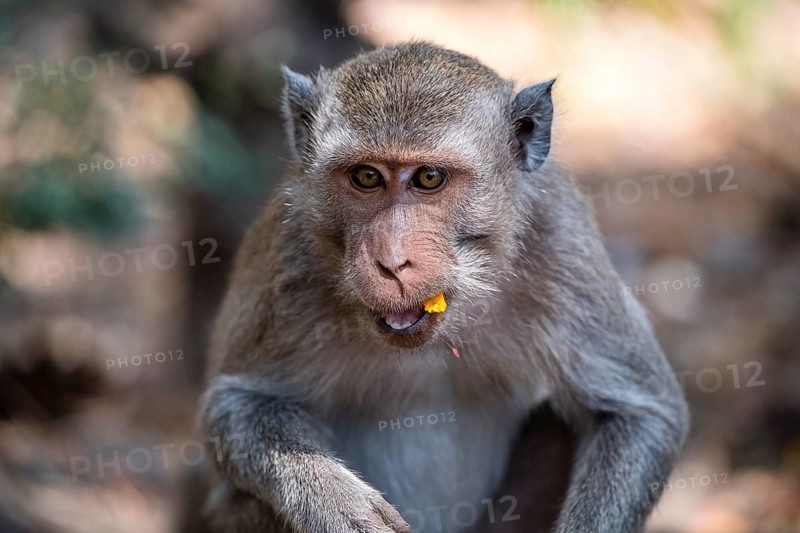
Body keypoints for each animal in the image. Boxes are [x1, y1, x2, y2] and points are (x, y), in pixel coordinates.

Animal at [198, 41, 689, 533]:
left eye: (429, 178)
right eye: (366, 177)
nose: (392, 260)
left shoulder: (560, 239)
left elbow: (639, 413)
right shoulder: (288, 252)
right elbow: (235, 406)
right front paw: (337, 505)